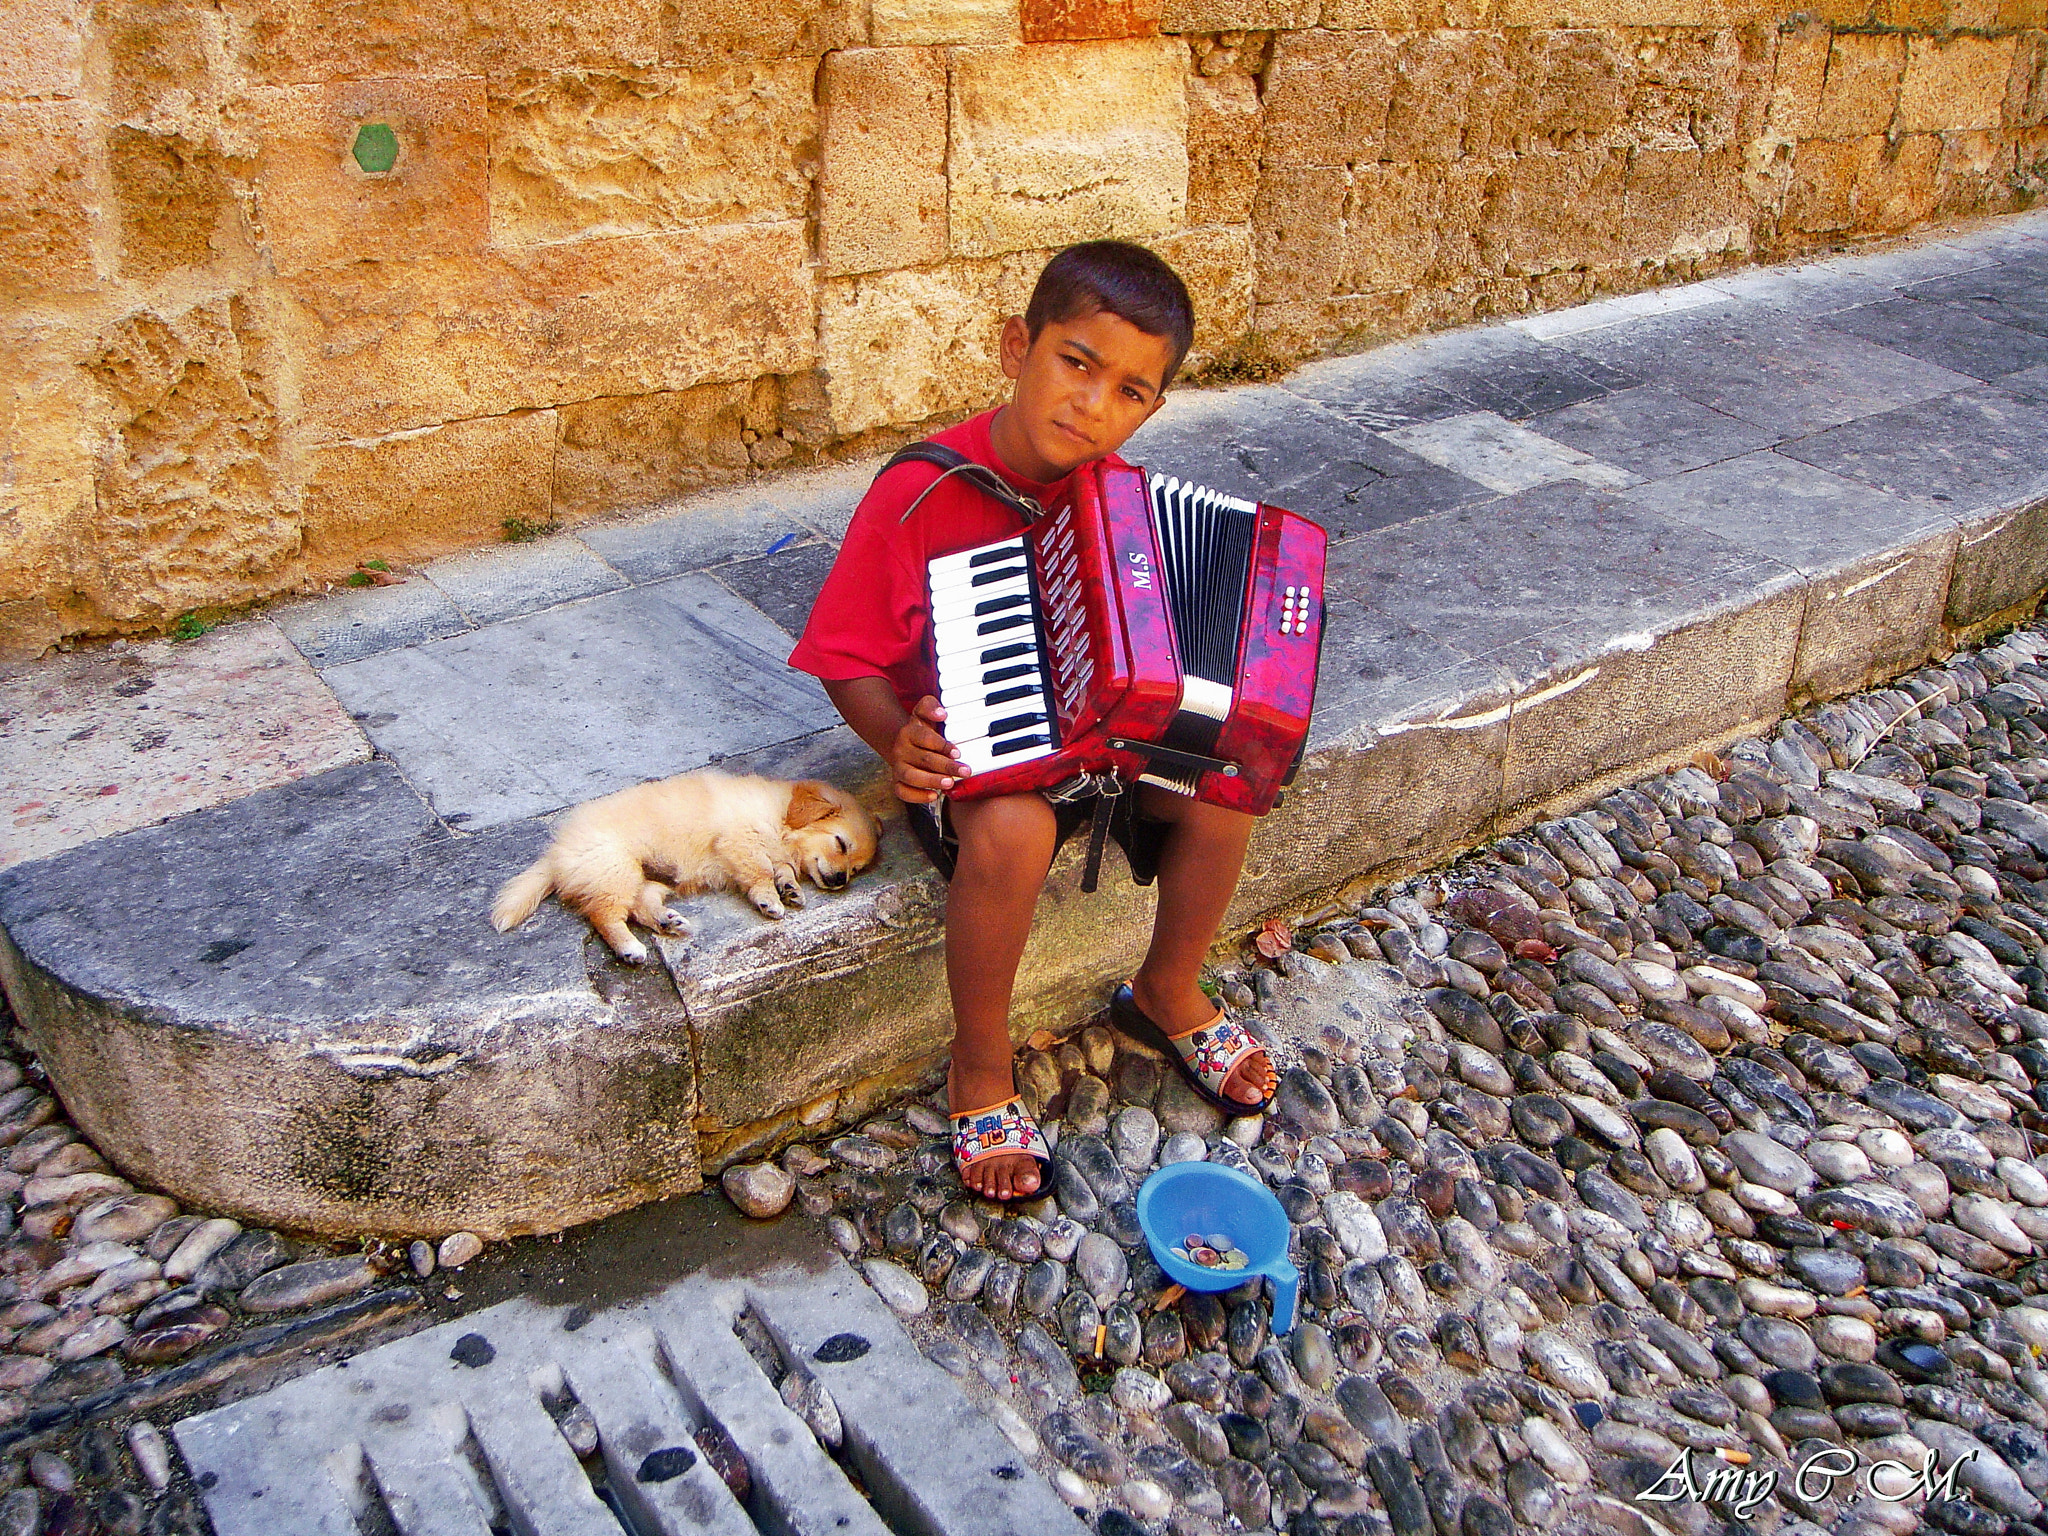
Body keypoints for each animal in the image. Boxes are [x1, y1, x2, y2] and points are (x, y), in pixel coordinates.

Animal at [499, 770, 884, 962]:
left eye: (857, 869)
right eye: (840, 844)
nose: (840, 880)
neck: (779, 817)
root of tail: (556, 854)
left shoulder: (773, 850)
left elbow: (782, 869)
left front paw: (789, 888)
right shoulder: (740, 840)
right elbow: (759, 871)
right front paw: (769, 900)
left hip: (647, 877)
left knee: (640, 905)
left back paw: (666, 920)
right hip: (615, 868)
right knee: (604, 915)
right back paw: (629, 948)